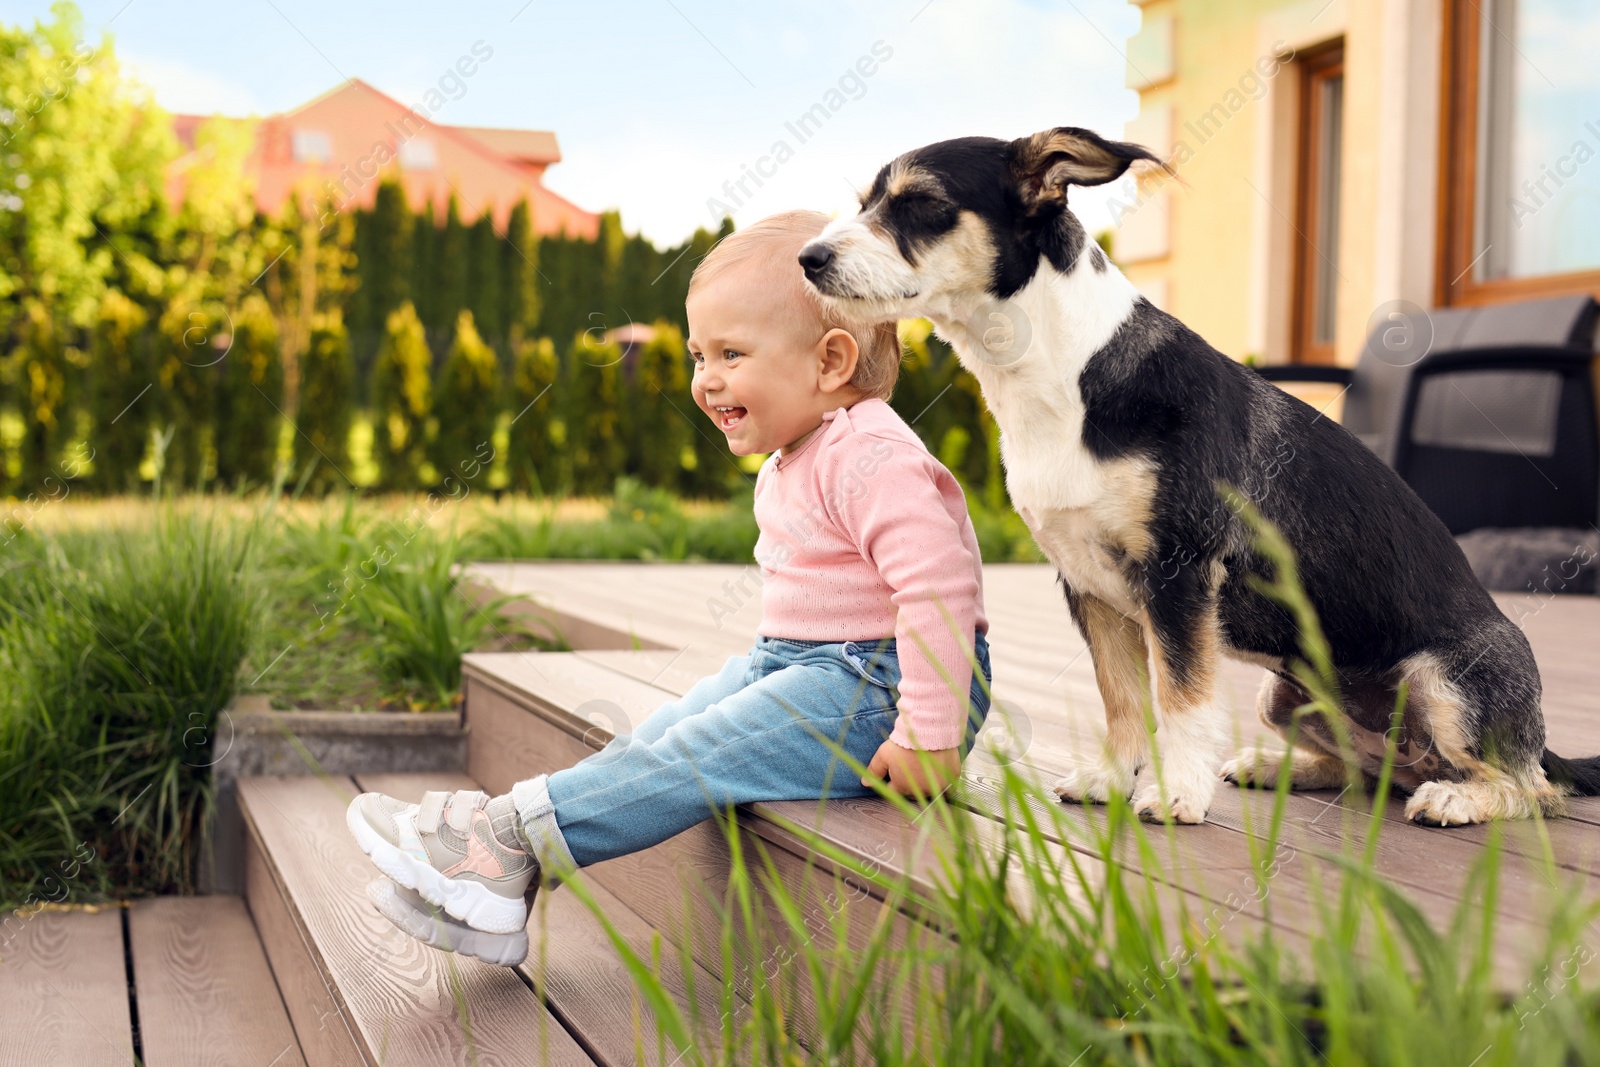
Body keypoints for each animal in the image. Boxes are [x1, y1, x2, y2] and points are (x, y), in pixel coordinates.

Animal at [800, 125, 1600, 825]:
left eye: (920, 204)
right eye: (868, 201)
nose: (808, 258)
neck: (1065, 374)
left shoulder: (1179, 573)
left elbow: (1180, 697)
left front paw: (1175, 793)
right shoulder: (1090, 587)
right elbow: (1123, 698)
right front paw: (1112, 778)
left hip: (1446, 686)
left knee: (1529, 789)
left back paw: (1460, 799)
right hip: (1284, 696)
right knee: (1369, 769)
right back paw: (1279, 767)